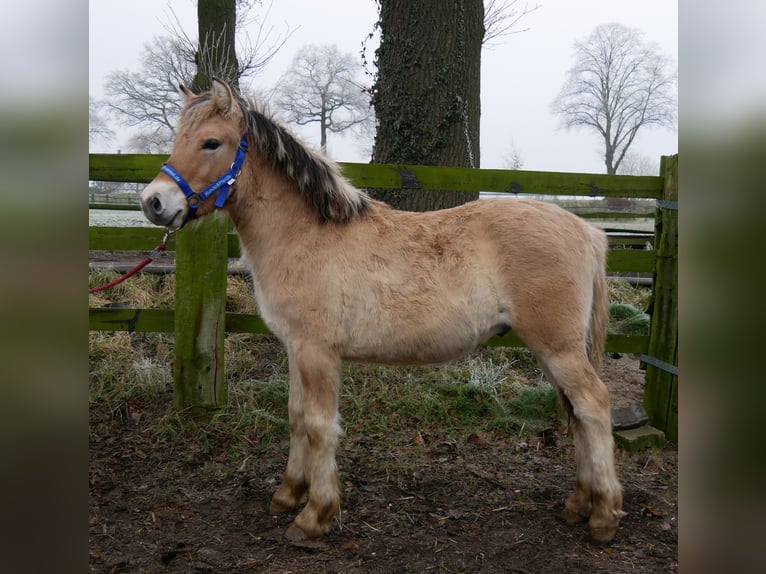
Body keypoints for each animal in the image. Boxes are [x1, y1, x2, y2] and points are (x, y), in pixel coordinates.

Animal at [141, 79, 628, 548]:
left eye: (211, 143)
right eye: (178, 138)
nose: (153, 202)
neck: (306, 235)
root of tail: (588, 231)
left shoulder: (318, 353)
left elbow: (319, 426)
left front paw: (315, 516)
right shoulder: (296, 349)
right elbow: (296, 418)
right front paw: (288, 493)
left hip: (558, 348)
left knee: (594, 405)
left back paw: (604, 516)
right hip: (551, 351)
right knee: (578, 412)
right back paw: (580, 503)